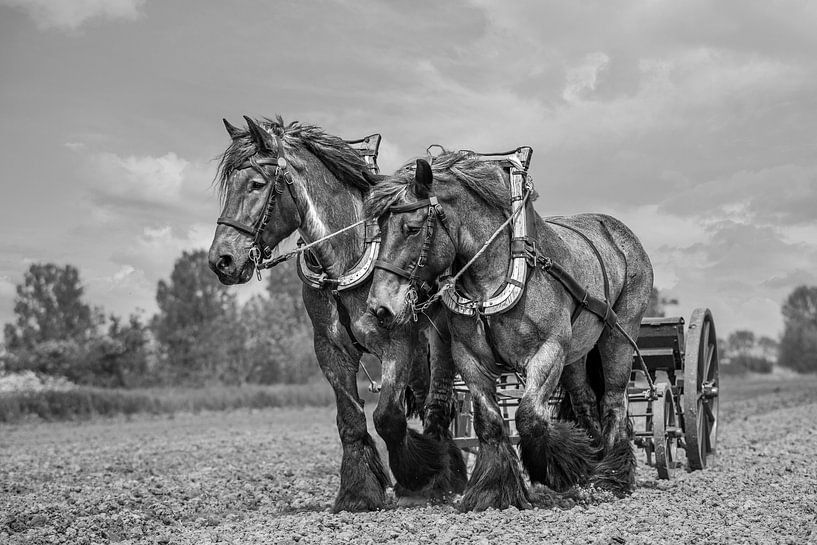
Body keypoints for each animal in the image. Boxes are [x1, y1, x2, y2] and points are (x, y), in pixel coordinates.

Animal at [207, 117, 466, 512]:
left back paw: (442, 477)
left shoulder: (400, 343)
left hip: (438, 342)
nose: (221, 260)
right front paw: (358, 492)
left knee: (439, 404)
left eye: (256, 184)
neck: (346, 260)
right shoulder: (330, 348)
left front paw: (416, 478)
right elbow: (350, 419)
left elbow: (387, 417)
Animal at [362, 152, 654, 511]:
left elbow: (529, 415)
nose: (380, 307)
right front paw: (494, 489)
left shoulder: (548, 351)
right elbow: (489, 423)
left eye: (412, 228)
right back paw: (592, 458)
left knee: (614, 400)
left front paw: (554, 471)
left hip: (618, 337)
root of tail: (619, 232)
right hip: (577, 354)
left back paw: (612, 477)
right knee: (585, 401)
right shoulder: (470, 357)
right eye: (379, 228)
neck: (498, 275)